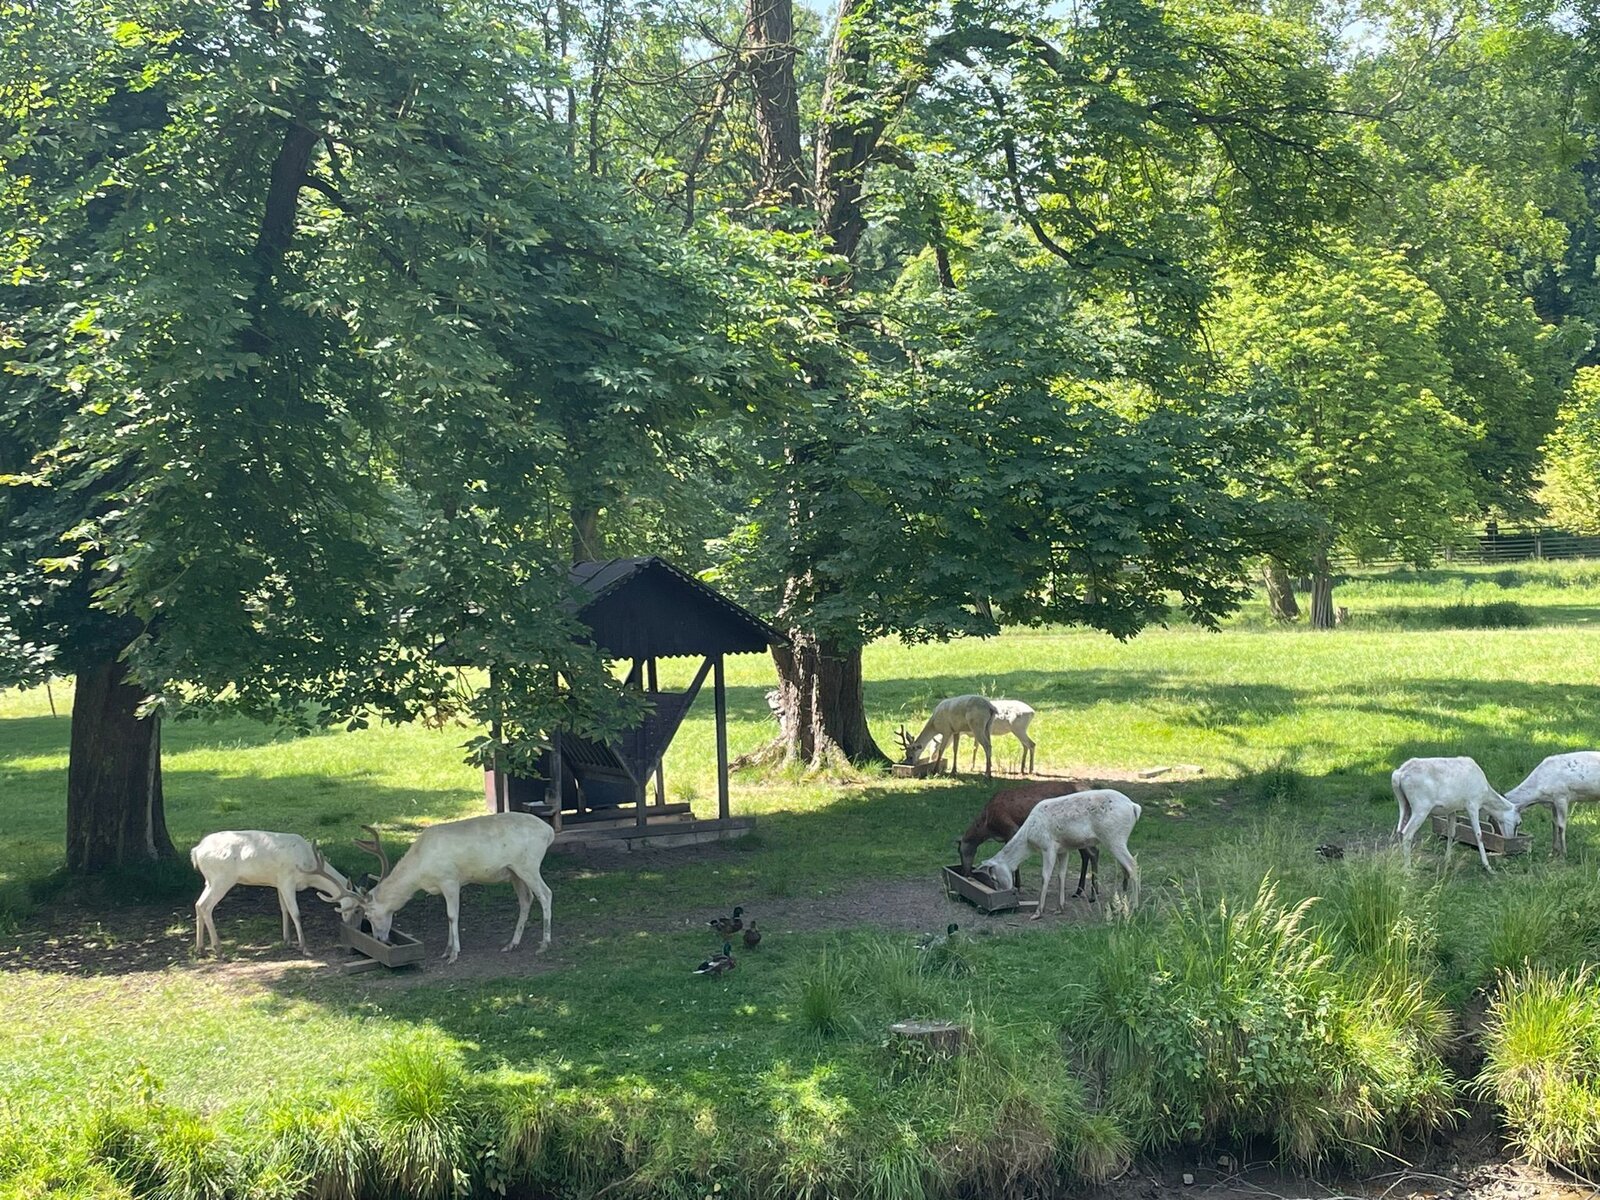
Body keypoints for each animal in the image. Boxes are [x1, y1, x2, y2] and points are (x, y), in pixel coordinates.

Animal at [190, 831, 355, 956]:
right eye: (354, 908)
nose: (349, 924)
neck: (309, 870)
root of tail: (196, 851)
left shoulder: (279, 883)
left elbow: (284, 909)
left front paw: (287, 940)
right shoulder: (287, 880)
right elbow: (296, 913)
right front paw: (304, 948)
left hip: (209, 881)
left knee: (197, 904)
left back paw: (200, 949)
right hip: (222, 879)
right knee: (206, 906)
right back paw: (218, 949)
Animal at [326, 813, 555, 964]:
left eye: (368, 915)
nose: (380, 939)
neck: (421, 871)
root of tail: (549, 831)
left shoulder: (450, 879)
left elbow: (452, 916)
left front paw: (454, 955)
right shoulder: (442, 886)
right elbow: (447, 917)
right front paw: (446, 950)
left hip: (528, 864)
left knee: (546, 894)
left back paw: (544, 945)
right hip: (514, 872)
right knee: (526, 899)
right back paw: (511, 944)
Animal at [957, 779, 1092, 896]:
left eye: (960, 851)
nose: (964, 872)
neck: (987, 827)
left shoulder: (1011, 828)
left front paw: (1017, 886)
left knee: (1090, 853)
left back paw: (1088, 894)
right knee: (1086, 855)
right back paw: (1079, 891)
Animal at [974, 789, 1141, 916]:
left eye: (994, 878)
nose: (1002, 894)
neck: (1029, 838)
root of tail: (1134, 807)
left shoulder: (1048, 846)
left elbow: (1045, 876)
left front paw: (1038, 912)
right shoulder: (1063, 850)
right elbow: (1062, 875)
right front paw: (1059, 908)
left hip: (1114, 837)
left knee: (1133, 865)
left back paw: (1134, 906)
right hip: (1118, 839)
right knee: (1126, 868)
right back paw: (1121, 905)